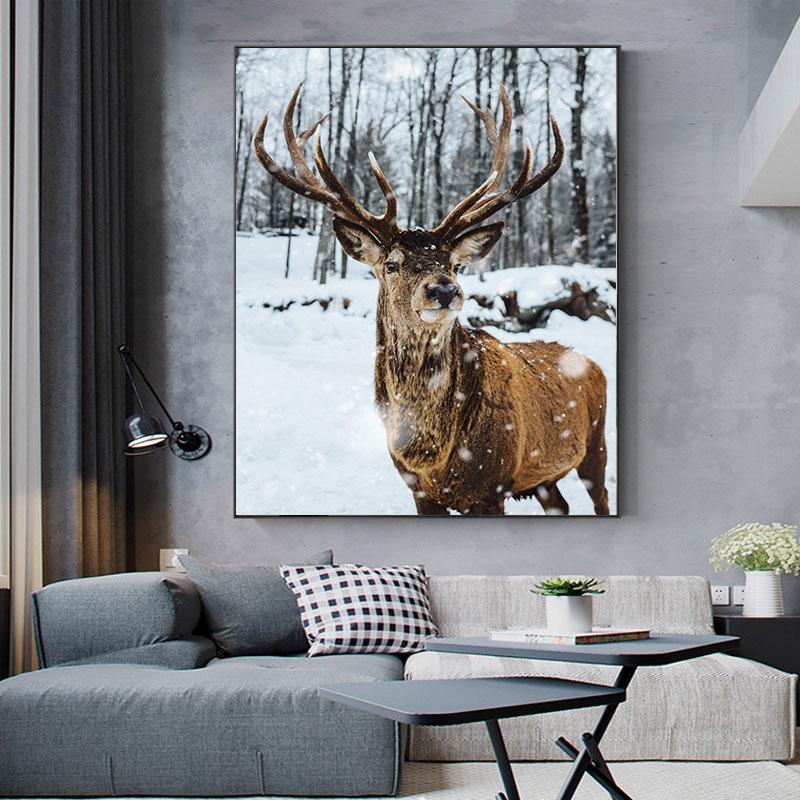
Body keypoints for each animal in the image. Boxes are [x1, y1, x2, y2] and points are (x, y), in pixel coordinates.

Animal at [252, 82, 610, 516]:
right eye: (391, 264)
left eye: (455, 264)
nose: (443, 289)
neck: (430, 454)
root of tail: (593, 364)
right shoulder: (418, 490)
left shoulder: (492, 486)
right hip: (543, 478)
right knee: (560, 504)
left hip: (596, 445)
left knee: (601, 496)